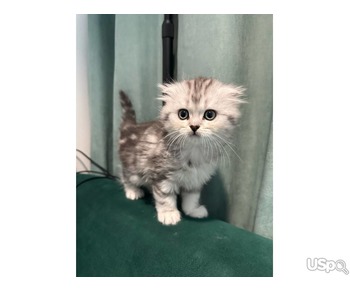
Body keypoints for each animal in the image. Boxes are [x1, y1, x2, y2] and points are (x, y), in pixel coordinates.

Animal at [117, 77, 243, 226]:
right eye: (183, 114)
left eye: (209, 115)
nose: (194, 126)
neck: (194, 153)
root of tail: (131, 127)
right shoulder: (161, 175)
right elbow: (164, 197)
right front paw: (169, 214)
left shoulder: (196, 179)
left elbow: (191, 198)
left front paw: (193, 211)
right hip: (134, 169)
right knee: (125, 176)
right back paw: (133, 191)